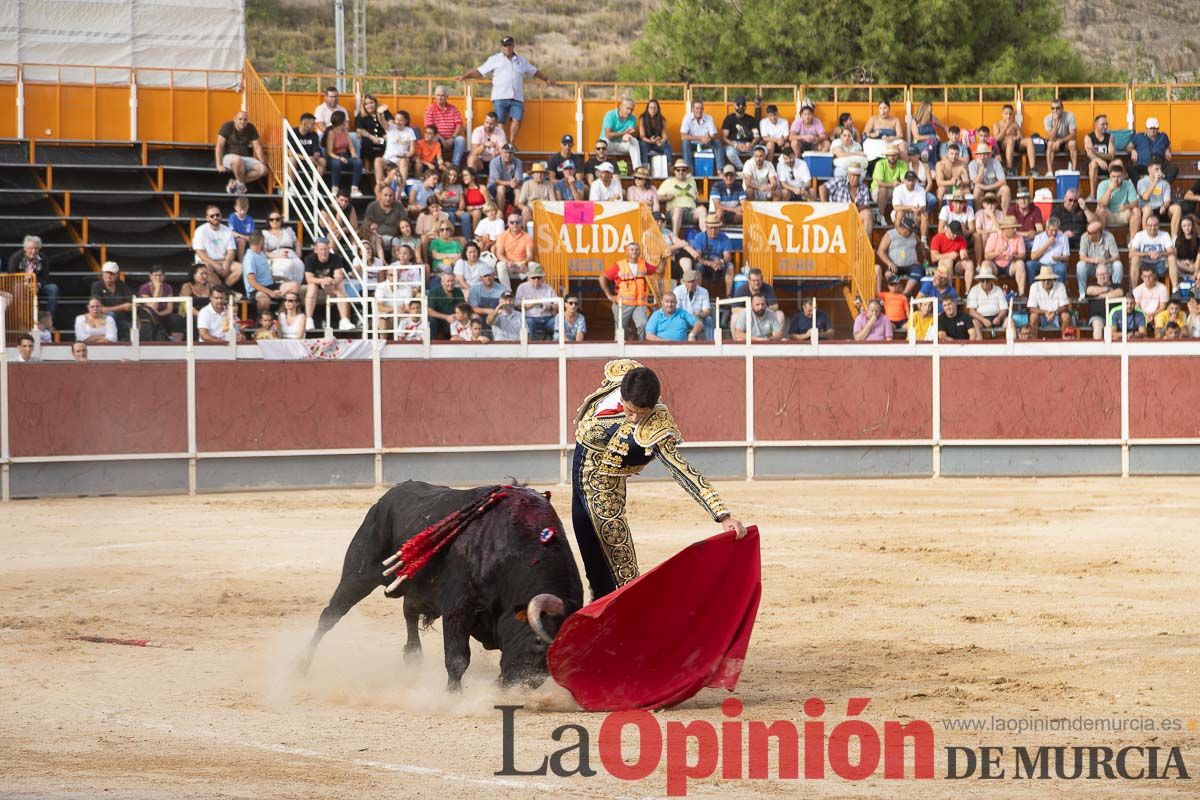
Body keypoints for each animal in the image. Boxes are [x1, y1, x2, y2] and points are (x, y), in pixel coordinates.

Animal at [297, 479, 583, 690]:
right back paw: (299, 667)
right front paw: (453, 696)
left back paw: (413, 659)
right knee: (329, 616)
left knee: (409, 612)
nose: (515, 687)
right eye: (537, 641)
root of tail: (387, 497)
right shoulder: (458, 606)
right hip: (358, 574)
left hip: (415, 587)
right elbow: (457, 657)